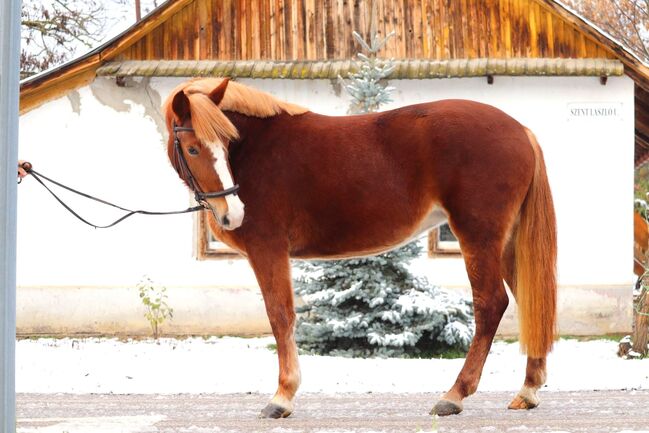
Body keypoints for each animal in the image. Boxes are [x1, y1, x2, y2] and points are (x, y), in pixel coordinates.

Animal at [163, 78, 556, 418]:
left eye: (226, 144)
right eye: (194, 148)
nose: (233, 212)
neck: (259, 149)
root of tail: (521, 131)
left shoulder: (268, 249)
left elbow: (280, 316)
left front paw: (282, 397)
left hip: (479, 236)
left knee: (491, 304)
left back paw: (454, 395)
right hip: (506, 242)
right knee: (528, 299)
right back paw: (527, 390)